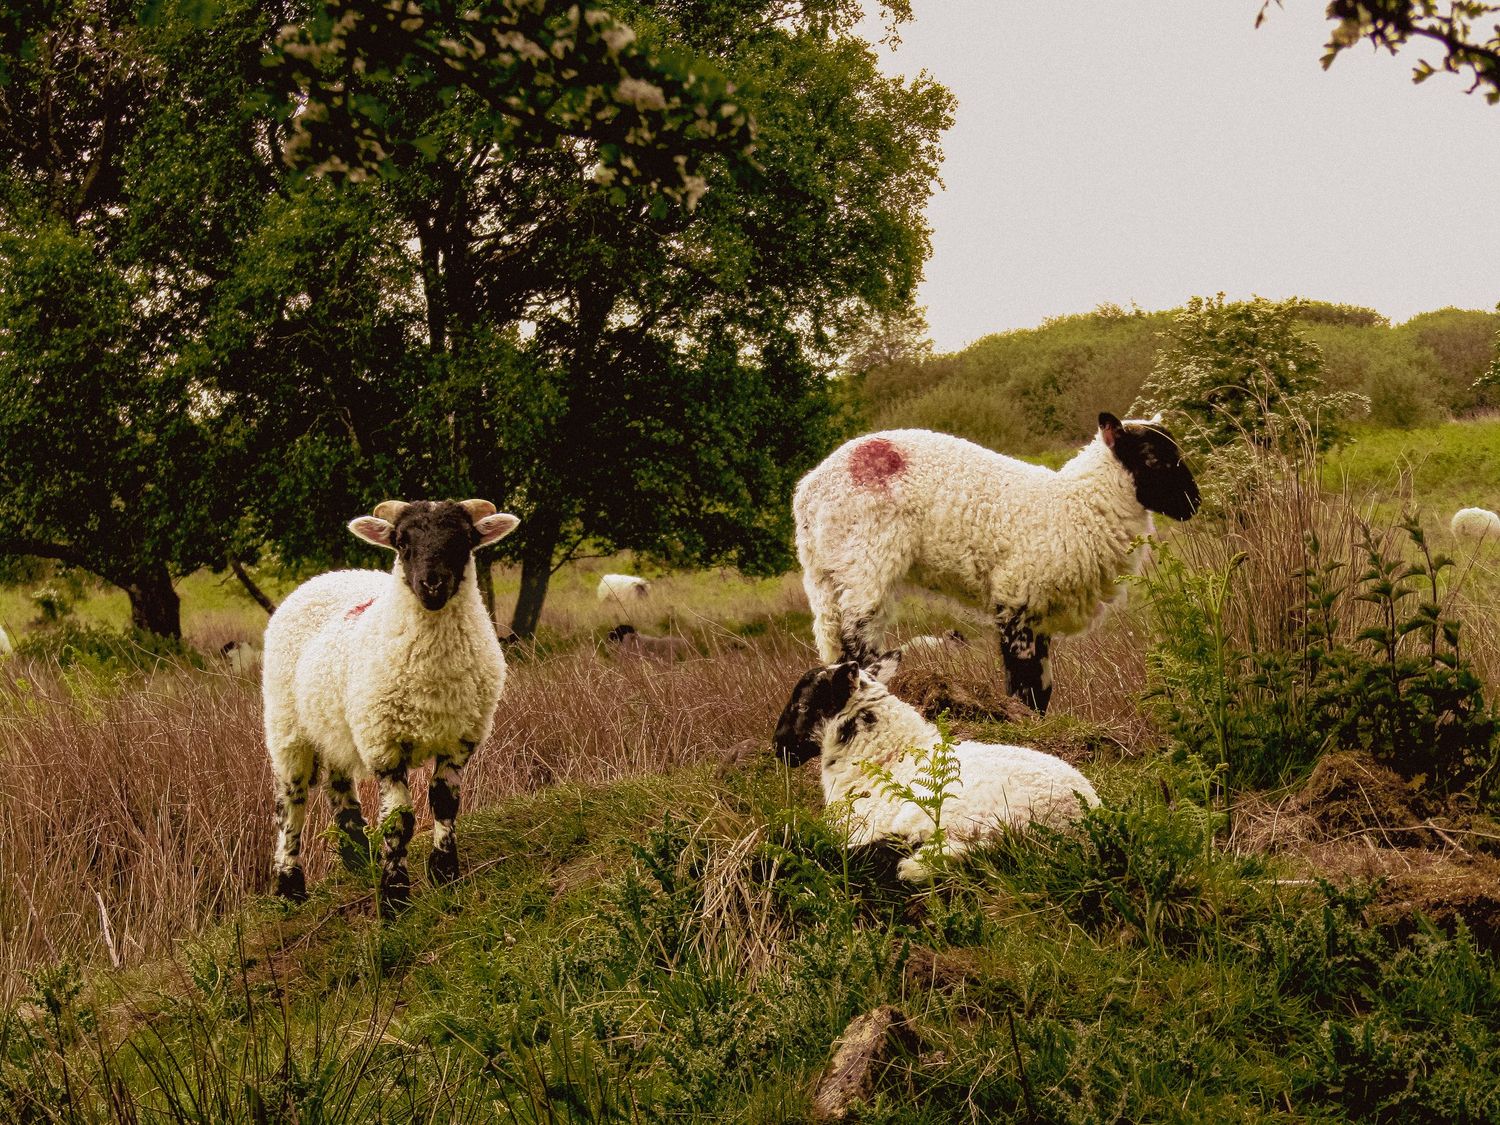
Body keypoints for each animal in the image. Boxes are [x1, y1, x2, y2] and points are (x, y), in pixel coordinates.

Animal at [262, 498, 519, 914]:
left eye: (464, 539)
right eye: (401, 542)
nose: (432, 584)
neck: (432, 680)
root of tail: (328, 576)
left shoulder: (460, 740)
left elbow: (444, 804)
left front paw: (445, 872)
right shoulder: (383, 744)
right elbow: (399, 821)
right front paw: (395, 895)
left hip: (337, 723)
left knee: (338, 785)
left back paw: (356, 856)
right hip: (287, 727)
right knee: (290, 803)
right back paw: (290, 886)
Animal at [794, 413, 1200, 714]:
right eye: (1154, 458)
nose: (1194, 503)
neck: (1078, 504)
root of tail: (808, 494)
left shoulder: (1038, 608)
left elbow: (1042, 687)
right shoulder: (1017, 599)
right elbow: (1025, 682)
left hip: (830, 575)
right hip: (865, 561)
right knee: (857, 646)